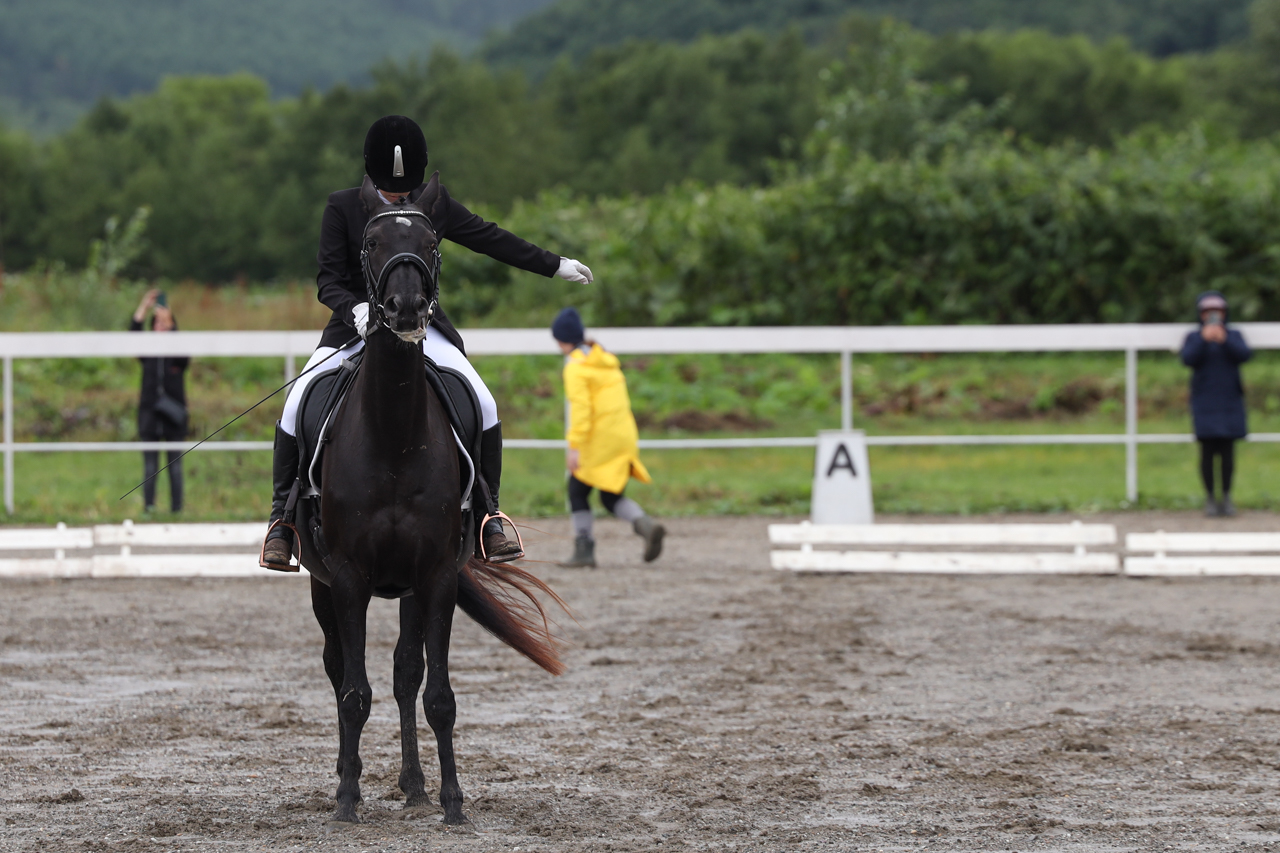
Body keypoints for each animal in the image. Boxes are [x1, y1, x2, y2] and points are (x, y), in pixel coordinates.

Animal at [299, 174, 565, 824]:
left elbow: (437, 693)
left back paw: (413, 783)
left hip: (410, 588)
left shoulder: (437, 573)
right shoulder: (347, 576)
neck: (394, 433)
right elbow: (353, 691)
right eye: (370, 244)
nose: (404, 310)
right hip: (321, 581)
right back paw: (347, 776)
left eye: (432, 242)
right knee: (340, 670)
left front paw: (452, 800)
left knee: (405, 672)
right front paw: (348, 800)